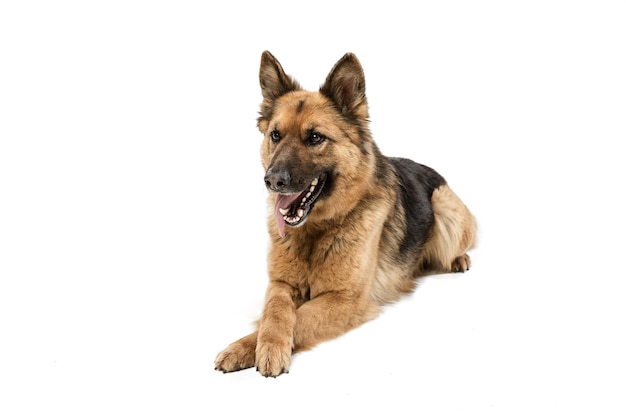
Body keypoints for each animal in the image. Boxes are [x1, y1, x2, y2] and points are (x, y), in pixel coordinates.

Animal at [212, 50, 476, 376]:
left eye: (315, 138)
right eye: (275, 135)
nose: (272, 180)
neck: (317, 231)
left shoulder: (344, 299)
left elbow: (301, 317)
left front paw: (267, 348)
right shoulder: (281, 284)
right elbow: (274, 312)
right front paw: (246, 346)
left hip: (443, 206)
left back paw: (458, 259)